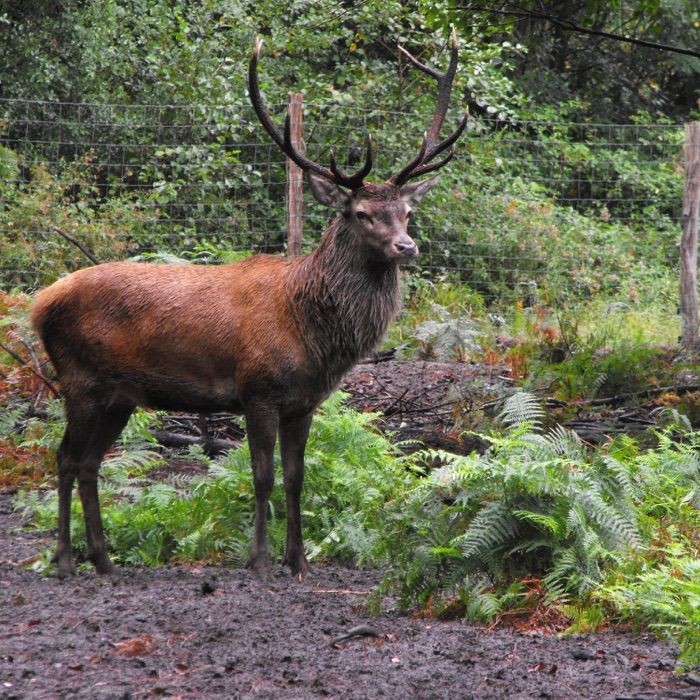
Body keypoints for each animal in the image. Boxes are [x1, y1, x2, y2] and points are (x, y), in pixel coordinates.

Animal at [30, 32, 466, 579]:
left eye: (407, 212)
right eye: (362, 213)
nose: (407, 247)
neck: (313, 333)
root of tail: (39, 304)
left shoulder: (304, 403)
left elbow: (298, 477)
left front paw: (298, 560)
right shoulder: (257, 389)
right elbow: (262, 476)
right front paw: (258, 558)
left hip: (119, 395)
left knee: (89, 462)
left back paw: (103, 560)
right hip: (80, 380)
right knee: (65, 458)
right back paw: (66, 560)